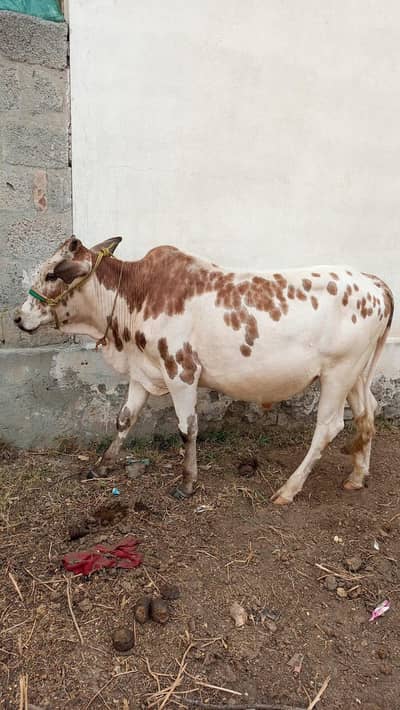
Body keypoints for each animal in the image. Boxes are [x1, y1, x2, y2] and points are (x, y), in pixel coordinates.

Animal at [14, 236, 394, 504]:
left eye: (51, 274)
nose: (17, 317)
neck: (134, 298)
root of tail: (373, 281)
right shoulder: (143, 371)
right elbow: (124, 419)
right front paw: (102, 465)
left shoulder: (181, 371)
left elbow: (187, 428)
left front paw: (187, 482)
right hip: (356, 374)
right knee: (367, 413)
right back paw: (357, 476)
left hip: (338, 372)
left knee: (329, 426)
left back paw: (289, 489)